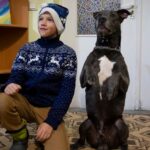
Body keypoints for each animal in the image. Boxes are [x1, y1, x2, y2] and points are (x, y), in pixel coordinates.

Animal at [71, 9, 131, 150]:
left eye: (113, 15)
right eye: (98, 15)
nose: (102, 19)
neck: (106, 48)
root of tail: (103, 142)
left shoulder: (126, 82)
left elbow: (117, 74)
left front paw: (110, 90)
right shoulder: (81, 78)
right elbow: (88, 65)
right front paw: (92, 76)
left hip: (121, 125)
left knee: (124, 142)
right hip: (85, 123)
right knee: (82, 139)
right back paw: (75, 145)